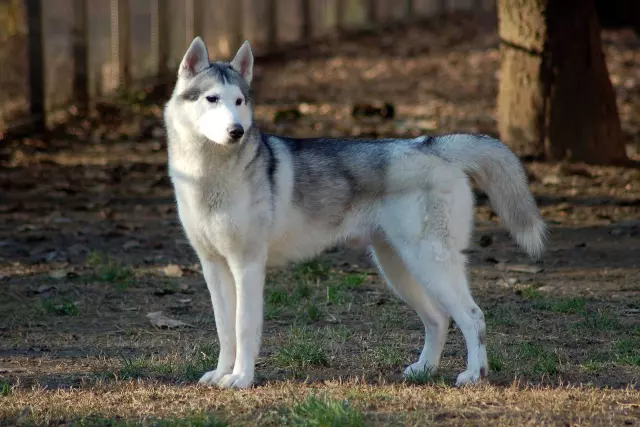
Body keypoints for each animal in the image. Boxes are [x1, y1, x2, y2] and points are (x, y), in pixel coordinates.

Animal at [164, 38, 544, 390]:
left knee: (473, 316)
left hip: (429, 263)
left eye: (239, 102)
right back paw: (424, 369)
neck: (208, 176)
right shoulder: (214, 267)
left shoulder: (248, 265)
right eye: (212, 99)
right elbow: (225, 329)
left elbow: (243, 328)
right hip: (398, 267)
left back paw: (474, 374)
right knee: (438, 319)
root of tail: (430, 145)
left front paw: (241, 378)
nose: (236, 131)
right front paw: (222, 374)